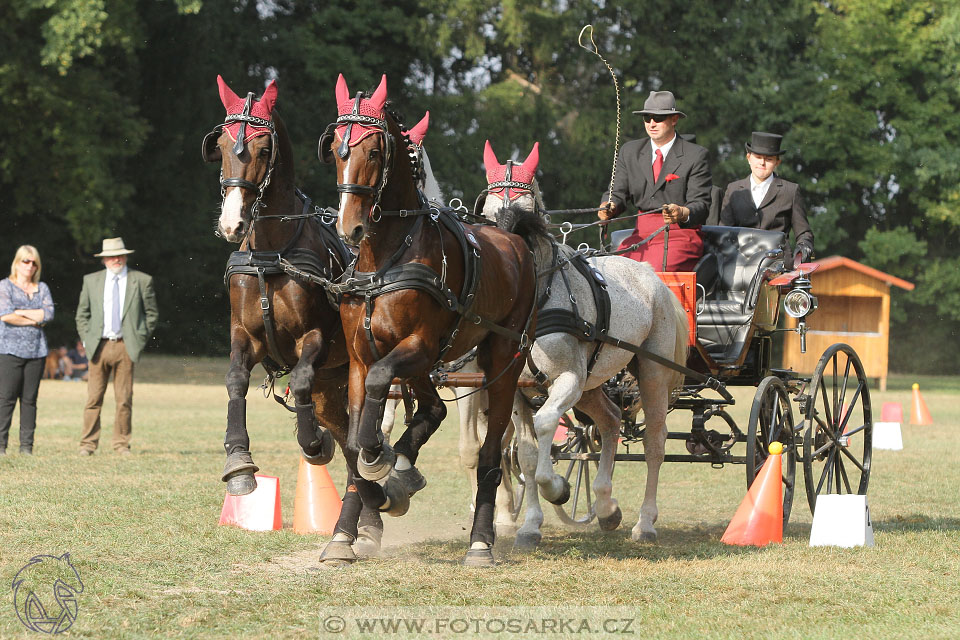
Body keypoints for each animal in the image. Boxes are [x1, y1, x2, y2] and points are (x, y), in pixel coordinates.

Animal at [318, 75, 536, 564]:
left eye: (374, 152)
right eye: (338, 149)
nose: (349, 229)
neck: (385, 256)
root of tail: (512, 238)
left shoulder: (416, 346)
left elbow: (376, 403)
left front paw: (381, 462)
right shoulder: (362, 358)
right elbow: (355, 441)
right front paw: (357, 520)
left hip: (503, 360)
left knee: (491, 453)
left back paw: (481, 540)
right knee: (433, 408)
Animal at [480, 141, 688, 552]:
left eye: (527, 211)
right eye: (489, 213)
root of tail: (652, 276)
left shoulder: (568, 379)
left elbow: (546, 425)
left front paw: (557, 488)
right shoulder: (517, 391)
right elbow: (526, 454)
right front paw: (530, 526)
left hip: (650, 373)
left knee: (654, 443)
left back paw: (645, 523)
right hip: (593, 382)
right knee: (609, 421)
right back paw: (607, 507)